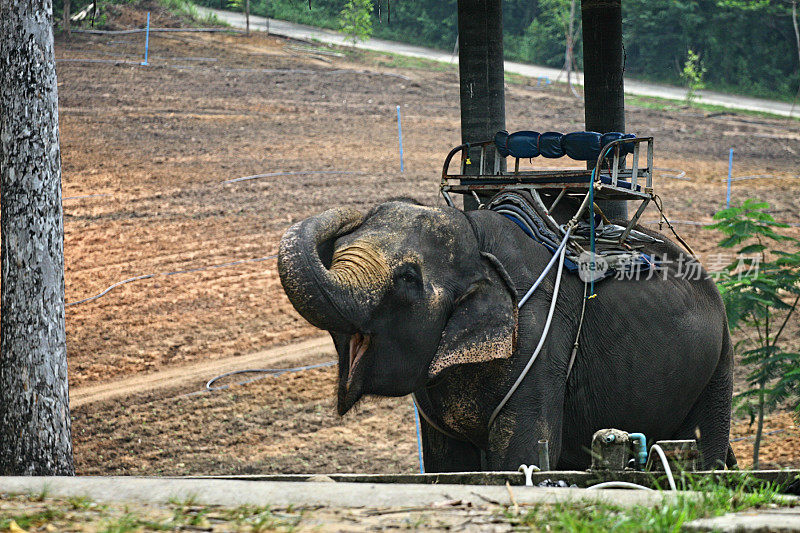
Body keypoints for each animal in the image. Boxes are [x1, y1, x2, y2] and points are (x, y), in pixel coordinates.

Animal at [278, 198, 736, 470]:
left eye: (407, 278)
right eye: (337, 253)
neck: (474, 239)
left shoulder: (538, 340)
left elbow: (523, 455)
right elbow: (449, 465)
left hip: (719, 364)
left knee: (704, 444)